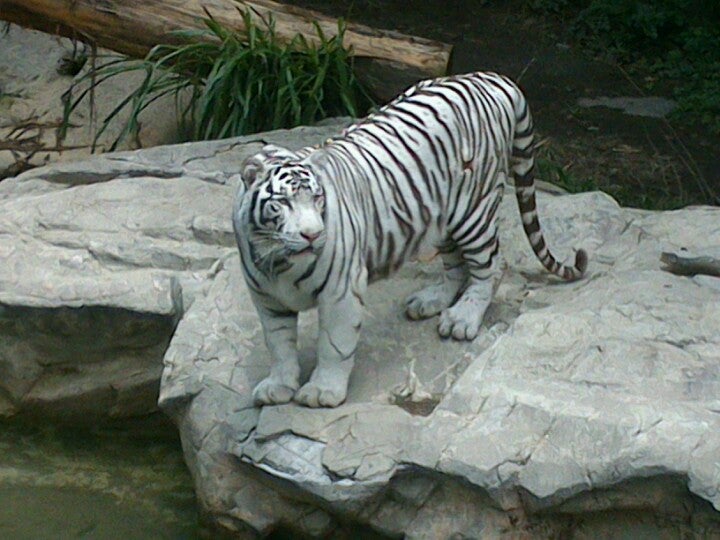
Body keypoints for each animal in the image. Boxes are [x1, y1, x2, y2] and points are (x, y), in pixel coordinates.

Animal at [233, 73, 588, 410]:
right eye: (282, 202)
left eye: (318, 199)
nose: (313, 234)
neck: (278, 260)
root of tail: (493, 78)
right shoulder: (266, 299)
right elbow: (278, 346)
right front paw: (277, 387)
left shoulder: (340, 290)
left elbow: (334, 345)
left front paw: (322, 392)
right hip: (442, 215)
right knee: (456, 267)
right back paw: (431, 302)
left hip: (473, 209)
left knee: (492, 266)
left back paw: (462, 319)